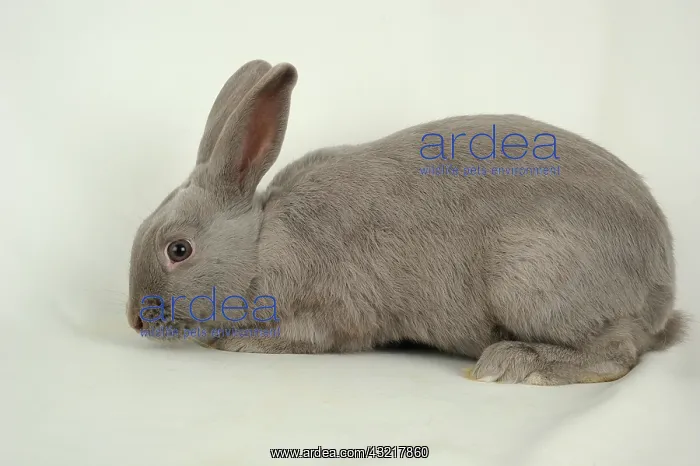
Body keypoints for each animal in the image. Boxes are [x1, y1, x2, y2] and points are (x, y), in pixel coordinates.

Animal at [126, 59, 688, 385]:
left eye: (178, 250)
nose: (135, 321)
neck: (263, 242)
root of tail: (660, 291)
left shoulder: (331, 310)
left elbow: (305, 336)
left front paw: (233, 341)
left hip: (530, 275)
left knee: (616, 354)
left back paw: (512, 363)